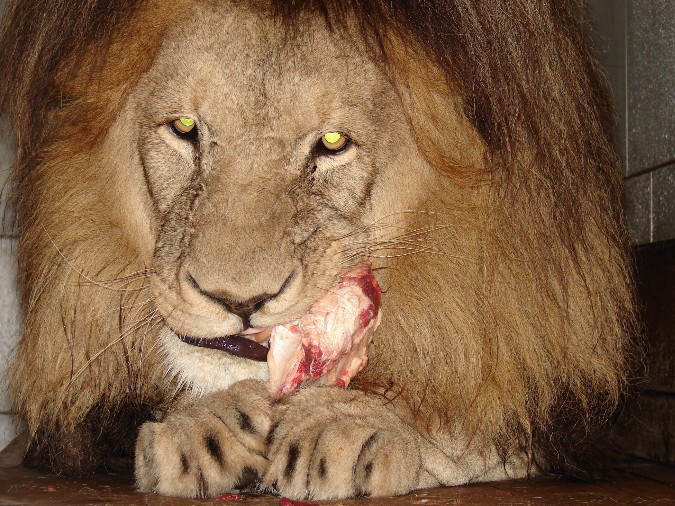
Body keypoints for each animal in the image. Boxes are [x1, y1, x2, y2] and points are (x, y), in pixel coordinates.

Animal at [0, 0, 636, 500]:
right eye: (183, 127)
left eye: (332, 143)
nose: (238, 301)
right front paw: (209, 424)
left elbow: (475, 429)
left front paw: (349, 424)